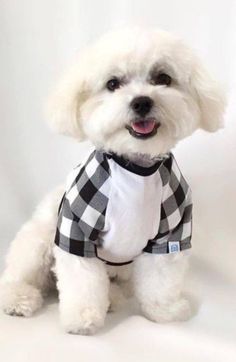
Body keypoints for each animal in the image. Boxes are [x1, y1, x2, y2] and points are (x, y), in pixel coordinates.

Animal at [0, 29, 226, 336]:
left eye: (163, 78)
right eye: (113, 84)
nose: (142, 101)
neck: (136, 169)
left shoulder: (171, 232)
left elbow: (161, 278)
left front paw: (164, 311)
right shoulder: (75, 230)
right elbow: (82, 282)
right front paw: (81, 319)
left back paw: (112, 300)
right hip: (37, 241)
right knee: (19, 275)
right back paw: (18, 298)